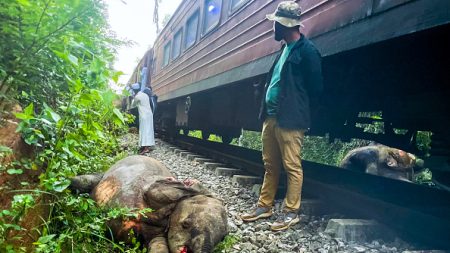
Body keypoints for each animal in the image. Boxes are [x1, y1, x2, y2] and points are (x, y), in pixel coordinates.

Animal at [70, 155, 229, 252]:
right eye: (186, 224)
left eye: (223, 238)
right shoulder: (155, 186)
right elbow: (155, 191)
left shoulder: (156, 232)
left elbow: (158, 246)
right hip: (102, 176)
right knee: (80, 182)